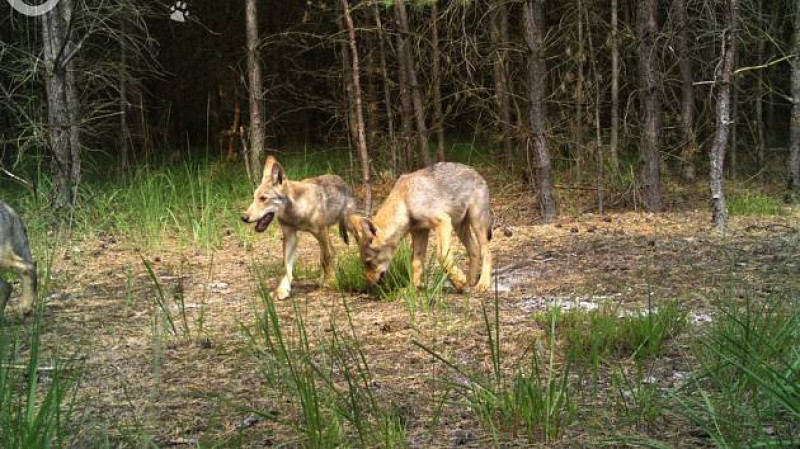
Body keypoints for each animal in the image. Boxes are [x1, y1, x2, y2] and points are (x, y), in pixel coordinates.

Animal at [241, 156, 357, 299]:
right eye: (254, 198)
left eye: (263, 198)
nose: (244, 217)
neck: (295, 211)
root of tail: (343, 180)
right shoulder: (290, 236)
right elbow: (287, 267)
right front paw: (282, 290)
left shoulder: (320, 232)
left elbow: (327, 258)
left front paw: (331, 281)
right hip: (325, 234)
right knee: (330, 252)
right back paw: (322, 279)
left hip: (345, 227)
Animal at [352, 162, 492, 292]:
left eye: (369, 263)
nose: (367, 286)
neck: (406, 203)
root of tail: (475, 172)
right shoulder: (420, 232)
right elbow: (416, 263)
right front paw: (412, 288)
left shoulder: (442, 222)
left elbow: (442, 256)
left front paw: (459, 280)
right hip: (459, 228)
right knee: (474, 251)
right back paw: (470, 281)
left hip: (476, 224)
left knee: (486, 252)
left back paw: (483, 283)